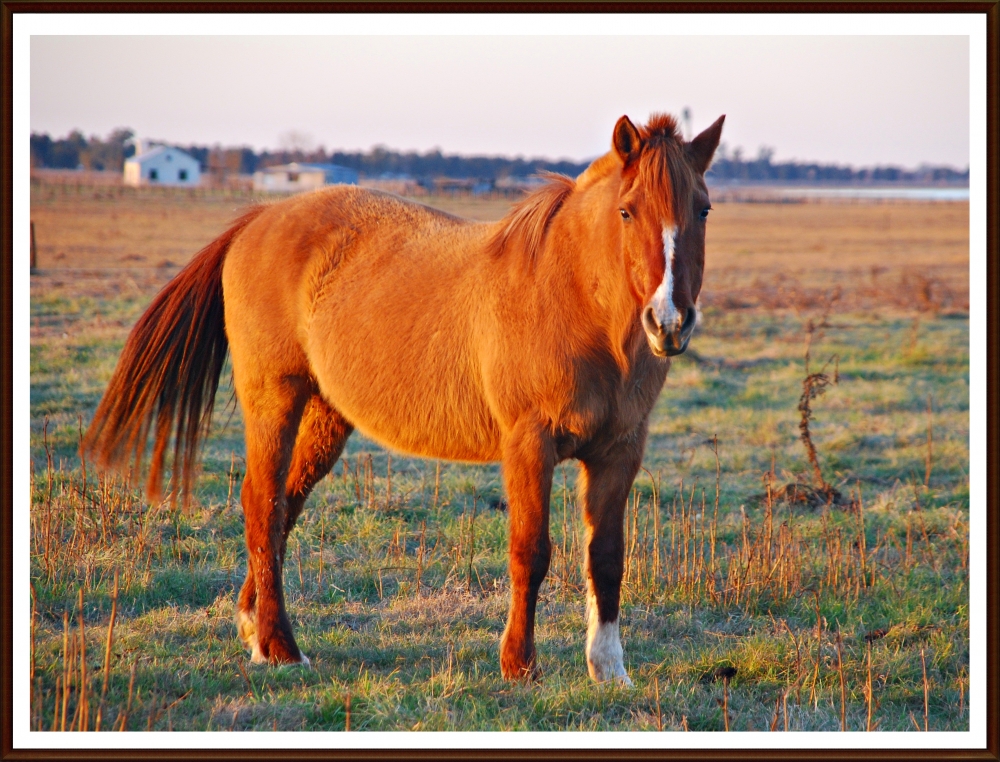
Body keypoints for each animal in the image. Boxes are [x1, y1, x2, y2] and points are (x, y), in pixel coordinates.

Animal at [86, 114, 724, 684]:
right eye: (627, 210)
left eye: (703, 208)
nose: (669, 321)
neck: (572, 299)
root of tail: (259, 219)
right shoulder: (529, 446)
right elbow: (531, 551)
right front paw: (519, 665)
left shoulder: (619, 452)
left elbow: (607, 558)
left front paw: (609, 669)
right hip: (274, 402)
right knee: (262, 504)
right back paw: (281, 647)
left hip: (326, 416)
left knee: (285, 504)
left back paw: (253, 628)